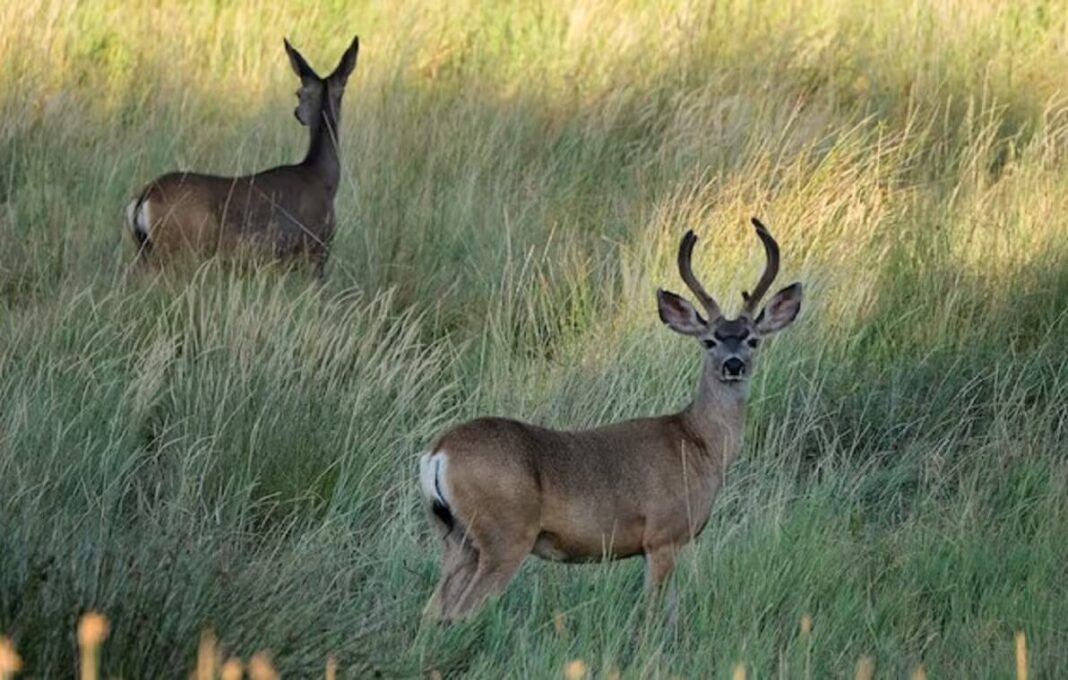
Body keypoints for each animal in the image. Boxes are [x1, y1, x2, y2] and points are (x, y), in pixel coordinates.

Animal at [122, 33, 360, 277]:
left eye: (299, 93)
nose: (297, 113)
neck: (322, 177)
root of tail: (145, 196)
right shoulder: (315, 250)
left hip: (146, 250)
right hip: (179, 251)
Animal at [416, 217, 803, 619]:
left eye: (753, 339)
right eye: (709, 340)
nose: (733, 364)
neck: (698, 444)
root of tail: (439, 451)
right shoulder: (663, 535)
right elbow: (654, 615)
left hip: (454, 538)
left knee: (432, 612)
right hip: (504, 535)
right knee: (460, 612)